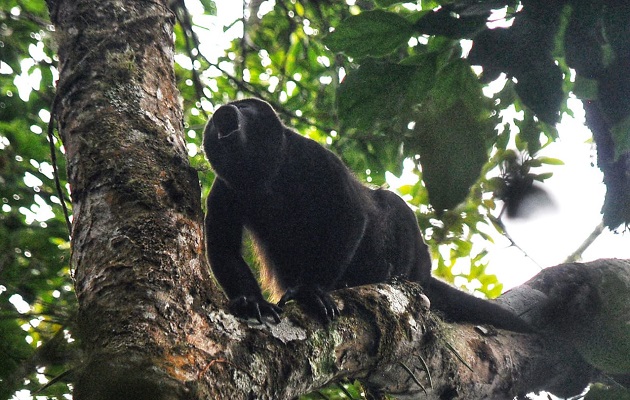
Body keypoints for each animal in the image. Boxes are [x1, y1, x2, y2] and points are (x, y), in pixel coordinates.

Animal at [202, 97, 532, 332]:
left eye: (245, 107)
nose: (224, 110)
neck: (266, 175)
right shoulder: (223, 190)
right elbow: (223, 248)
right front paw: (251, 302)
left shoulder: (316, 157)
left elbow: (350, 214)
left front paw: (310, 291)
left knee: (394, 207)